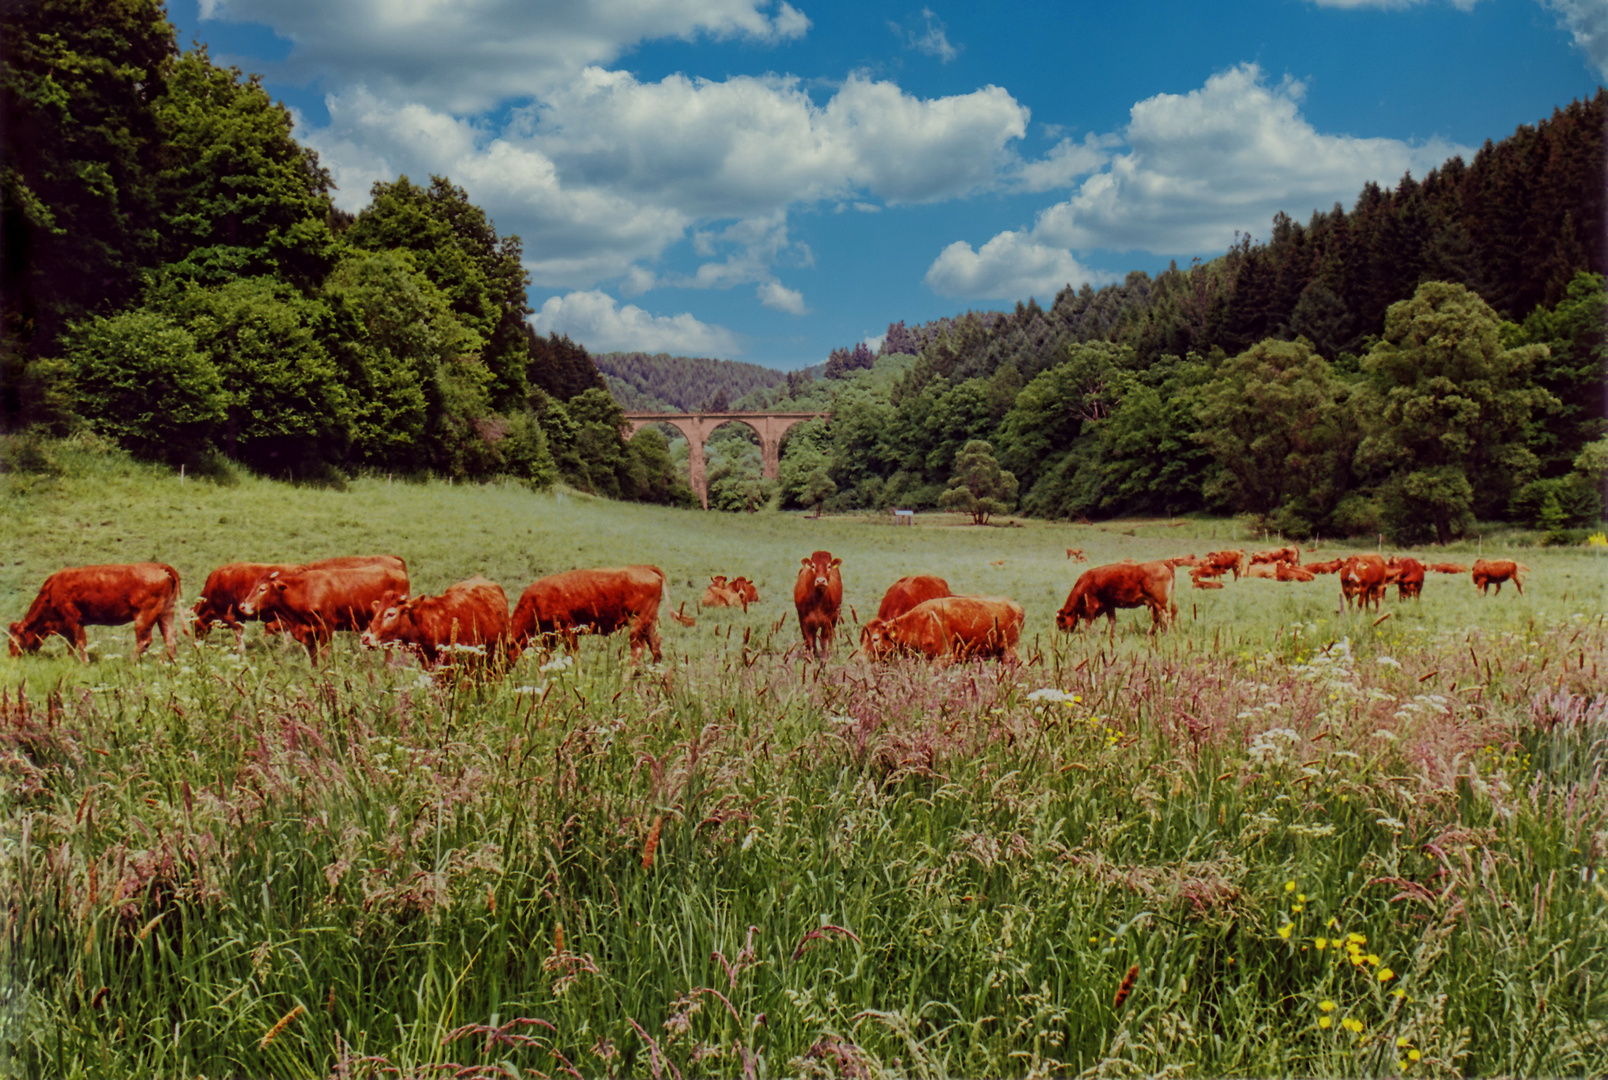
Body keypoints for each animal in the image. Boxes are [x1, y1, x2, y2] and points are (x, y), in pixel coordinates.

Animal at [9, 562, 181, 662]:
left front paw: (85, 663)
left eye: (11, 642)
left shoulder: (74, 619)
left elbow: (80, 643)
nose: (11, 657)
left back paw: (131, 663)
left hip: (144, 616)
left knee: (144, 640)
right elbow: (70, 645)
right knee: (170, 637)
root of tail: (157, 566)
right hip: (166, 612)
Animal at [234, 556, 408, 658]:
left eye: (262, 589)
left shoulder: (326, 627)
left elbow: (324, 653)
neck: (304, 591)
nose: (243, 606)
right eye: (253, 586)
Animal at [511, 568, 668, 662]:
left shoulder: (568, 632)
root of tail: (646, 568)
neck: (535, 600)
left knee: (637, 651)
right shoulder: (551, 638)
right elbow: (543, 660)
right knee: (656, 648)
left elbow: (574, 658)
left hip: (638, 624)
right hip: (648, 625)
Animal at [1054, 556, 1183, 633]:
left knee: (1165, 617)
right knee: (1157, 619)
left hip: (1159, 603)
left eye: (1060, 621)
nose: (1061, 632)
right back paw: (1151, 635)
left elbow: (1087, 624)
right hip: (1155, 604)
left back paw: (1164, 635)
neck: (1084, 583)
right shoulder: (1109, 606)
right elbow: (1113, 623)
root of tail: (1163, 562)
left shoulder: (1091, 606)